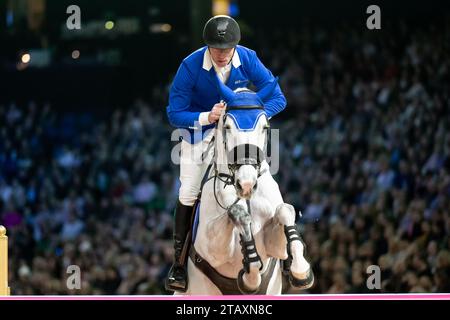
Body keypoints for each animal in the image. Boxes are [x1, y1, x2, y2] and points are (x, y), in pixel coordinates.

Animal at [176, 77, 312, 296]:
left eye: (265, 127)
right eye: (227, 127)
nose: (246, 184)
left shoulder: (275, 246)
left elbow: (285, 210)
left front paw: (301, 272)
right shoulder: (212, 249)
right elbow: (237, 213)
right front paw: (250, 275)